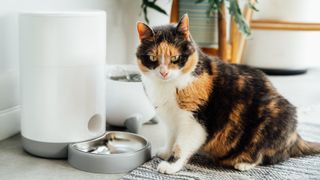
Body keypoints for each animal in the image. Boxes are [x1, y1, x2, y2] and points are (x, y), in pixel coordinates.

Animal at [135, 14, 320, 174]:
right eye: (152, 58)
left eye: (175, 58)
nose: (164, 72)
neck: (167, 87)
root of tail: (295, 136)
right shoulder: (170, 119)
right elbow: (171, 137)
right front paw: (166, 152)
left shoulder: (193, 123)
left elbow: (182, 145)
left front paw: (171, 165)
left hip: (275, 117)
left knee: (272, 156)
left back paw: (244, 163)